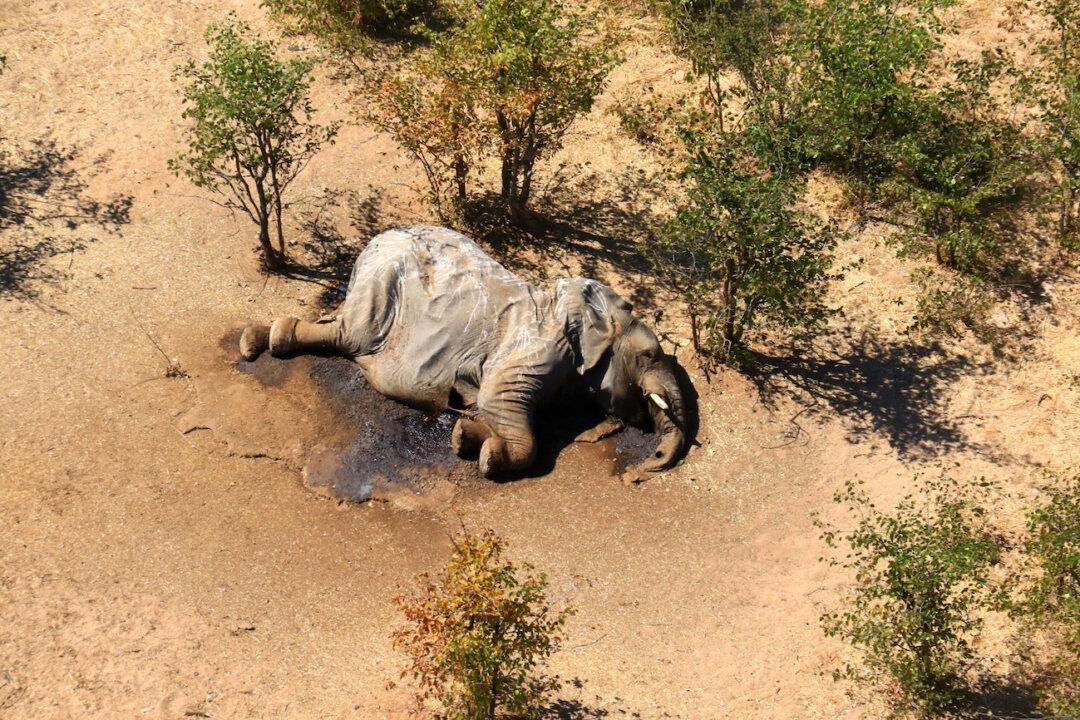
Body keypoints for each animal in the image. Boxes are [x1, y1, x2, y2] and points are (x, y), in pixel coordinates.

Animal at [239, 225, 691, 478]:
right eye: (649, 355)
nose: (646, 468)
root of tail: (376, 240)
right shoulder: (538, 347)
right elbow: (500, 401)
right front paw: (489, 456)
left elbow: (494, 408)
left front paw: (464, 436)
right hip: (381, 284)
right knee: (351, 336)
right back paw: (262, 341)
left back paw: (258, 338)